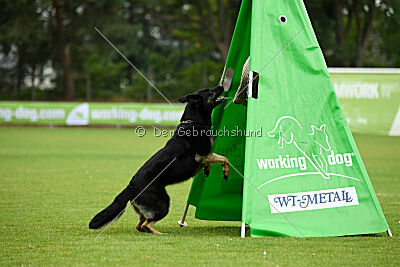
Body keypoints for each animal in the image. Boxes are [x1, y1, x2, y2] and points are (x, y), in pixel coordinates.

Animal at [89, 86, 230, 234]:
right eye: (209, 91)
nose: (222, 86)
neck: (194, 121)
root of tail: (131, 186)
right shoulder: (202, 155)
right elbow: (224, 159)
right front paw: (225, 172)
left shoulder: (205, 155)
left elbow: (215, 160)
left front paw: (207, 169)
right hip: (163, 203)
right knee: (146, 225)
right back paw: (161, 234)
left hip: (147, 209)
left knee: (140, 225)